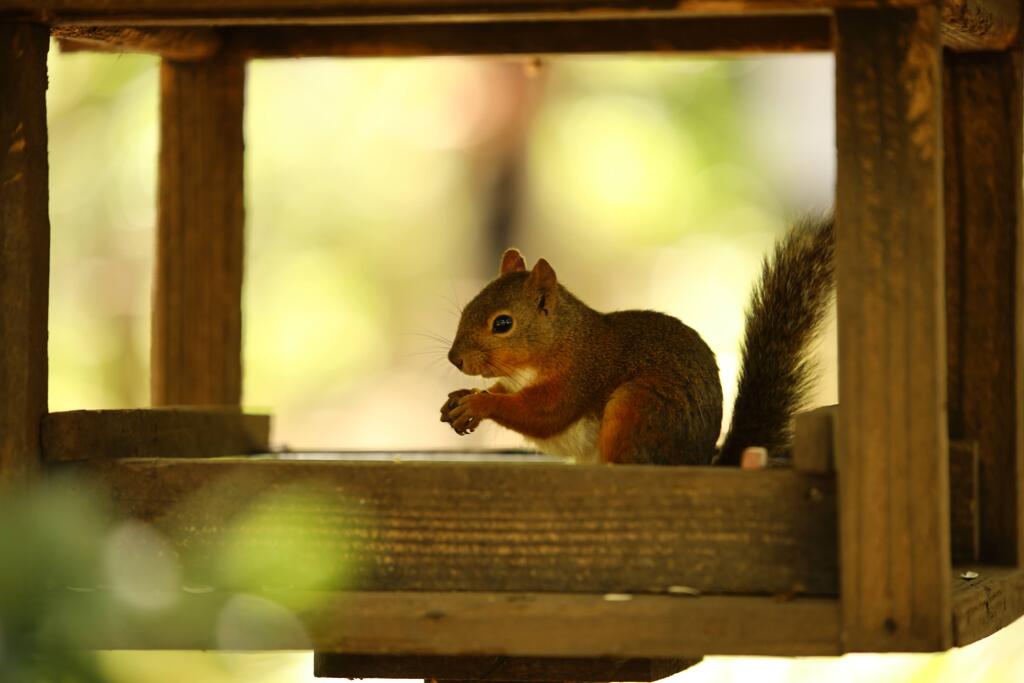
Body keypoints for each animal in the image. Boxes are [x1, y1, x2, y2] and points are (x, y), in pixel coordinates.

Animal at [438, 216, 831, 466]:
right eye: (468, 306)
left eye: (503, 323)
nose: (455, 359)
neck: (562, 341)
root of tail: (699, 461)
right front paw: (462, 398)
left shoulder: (578, 378)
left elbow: (541, 415)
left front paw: (480, 404)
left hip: (638, 406)